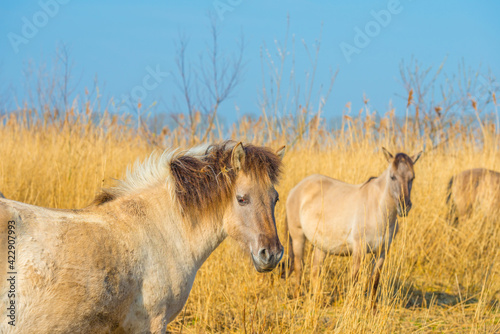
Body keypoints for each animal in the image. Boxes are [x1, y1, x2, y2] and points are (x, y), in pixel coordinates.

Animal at [284, 147, 420, 306]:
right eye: (393, 177)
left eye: (412, 178)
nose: (404, 207)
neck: (377, 209)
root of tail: (296, 188)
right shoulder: (359, 249)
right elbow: (355, 279)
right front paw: (352, 306)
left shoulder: (382, 252)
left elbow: (374, 280)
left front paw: (372, 308)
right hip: (298, 236)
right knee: (299, 267)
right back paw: (297, 298)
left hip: (321, 245)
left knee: (315, 270)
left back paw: (318, 301)